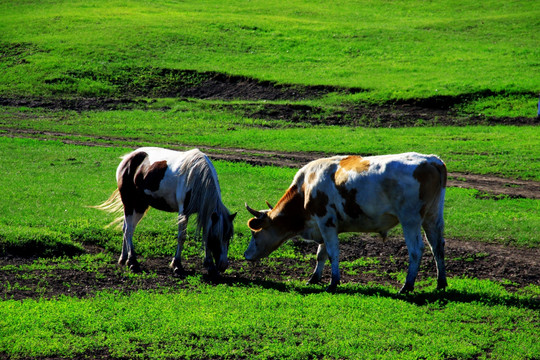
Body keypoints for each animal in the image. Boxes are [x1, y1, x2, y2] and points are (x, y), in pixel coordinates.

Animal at [96, 148, 235, 274]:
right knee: (128, 230)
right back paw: (132, 262)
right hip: (130, 203)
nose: (223, 265)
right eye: (216, 237)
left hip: (140, 205)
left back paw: (123, 258)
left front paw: (210, 265)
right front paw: (177, 264)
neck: (197, 178)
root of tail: (127, 158)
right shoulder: (183, 212)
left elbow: (205, 235)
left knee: (127, 228)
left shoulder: (206, 213)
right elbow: (182, 236)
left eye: (228, 236)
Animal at [245, 152, 448, 292]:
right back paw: (441, 283)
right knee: (437, 246)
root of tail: (432, 160)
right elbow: (321, 254)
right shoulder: (325, 225)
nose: (246, 255)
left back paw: (407, 286)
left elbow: (332, 253)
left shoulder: (326, 222)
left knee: (416, 250)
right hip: (432, 217)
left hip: (410, 219)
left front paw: (333, 283)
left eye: (255, 233)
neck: (306, 187)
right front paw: (314, 278)